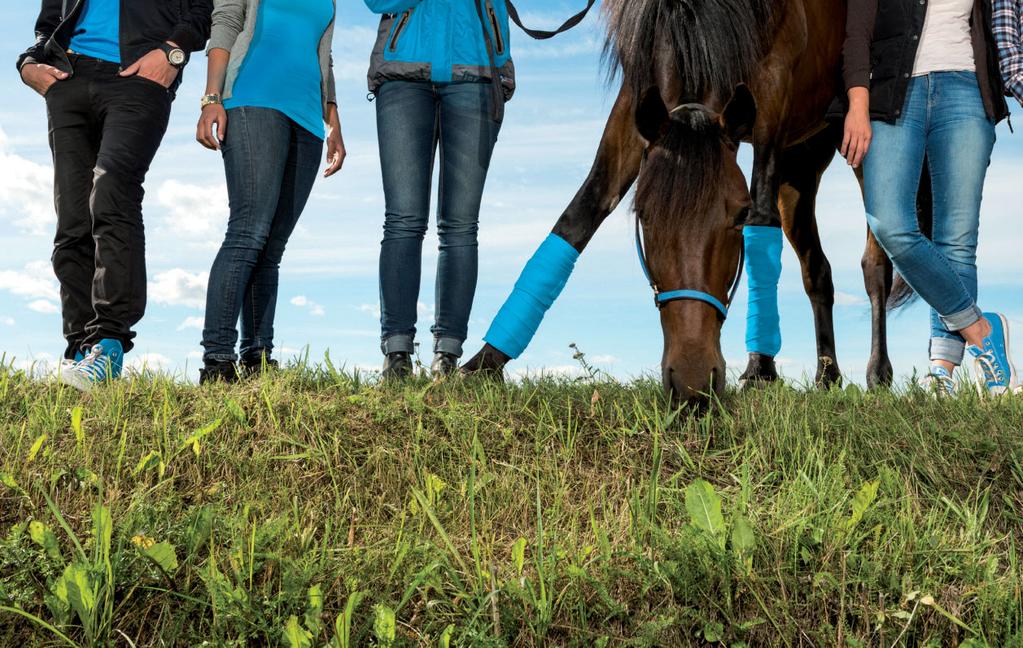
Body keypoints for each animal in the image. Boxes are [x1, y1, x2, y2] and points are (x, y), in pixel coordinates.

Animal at [468, 0, 900, 405]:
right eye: (643, 216)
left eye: (738, 216)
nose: (693, 383)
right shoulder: (635, 101)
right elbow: (580, 216)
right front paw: (486, 361)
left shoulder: (773, 90)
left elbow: (762, 218)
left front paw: (761, 370)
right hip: (799, 167)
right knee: (818, 271)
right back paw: (827, 375)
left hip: (860, 146)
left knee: (876, 262)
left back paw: (877, 373)